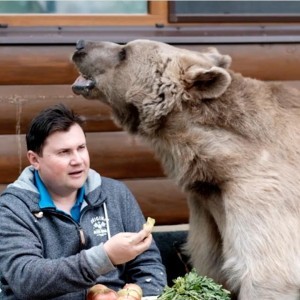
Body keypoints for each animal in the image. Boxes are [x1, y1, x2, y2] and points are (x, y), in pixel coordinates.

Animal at [72, 38, 300, 298]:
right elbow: (210, 262)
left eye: (124, 52)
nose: (80, 45)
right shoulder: (205, 203)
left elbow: (267, 271)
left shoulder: (261, 187)